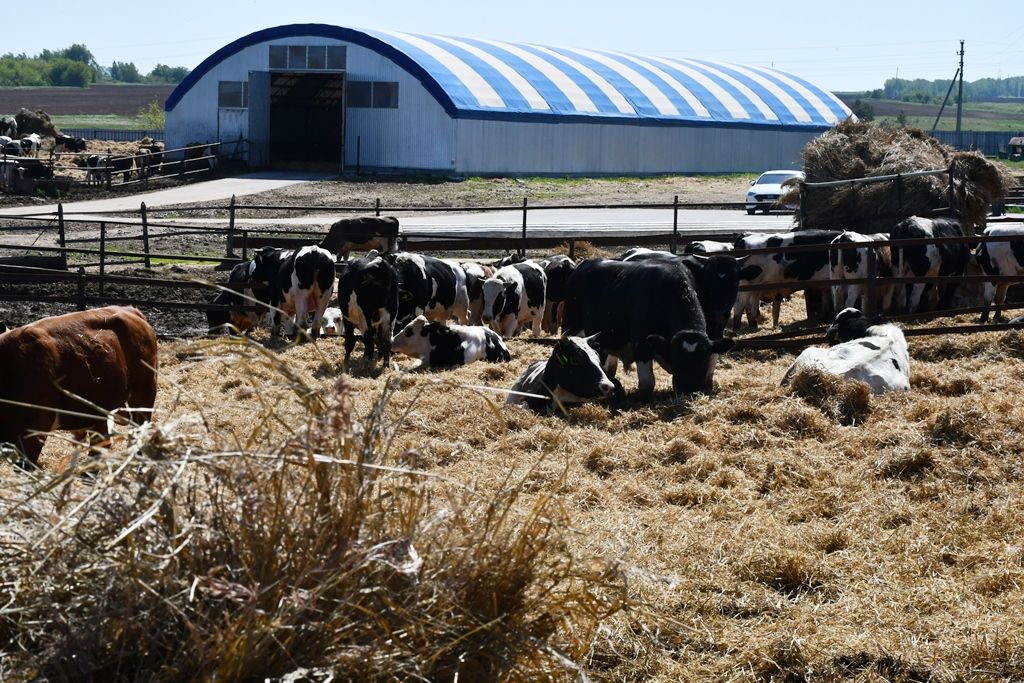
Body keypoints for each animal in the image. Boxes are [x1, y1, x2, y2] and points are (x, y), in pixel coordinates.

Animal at [561, 262, 737, 401]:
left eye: (702, 362)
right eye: (677, 361)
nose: (688, 392)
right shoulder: (641, 344)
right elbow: (647, 383)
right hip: (571, 324)